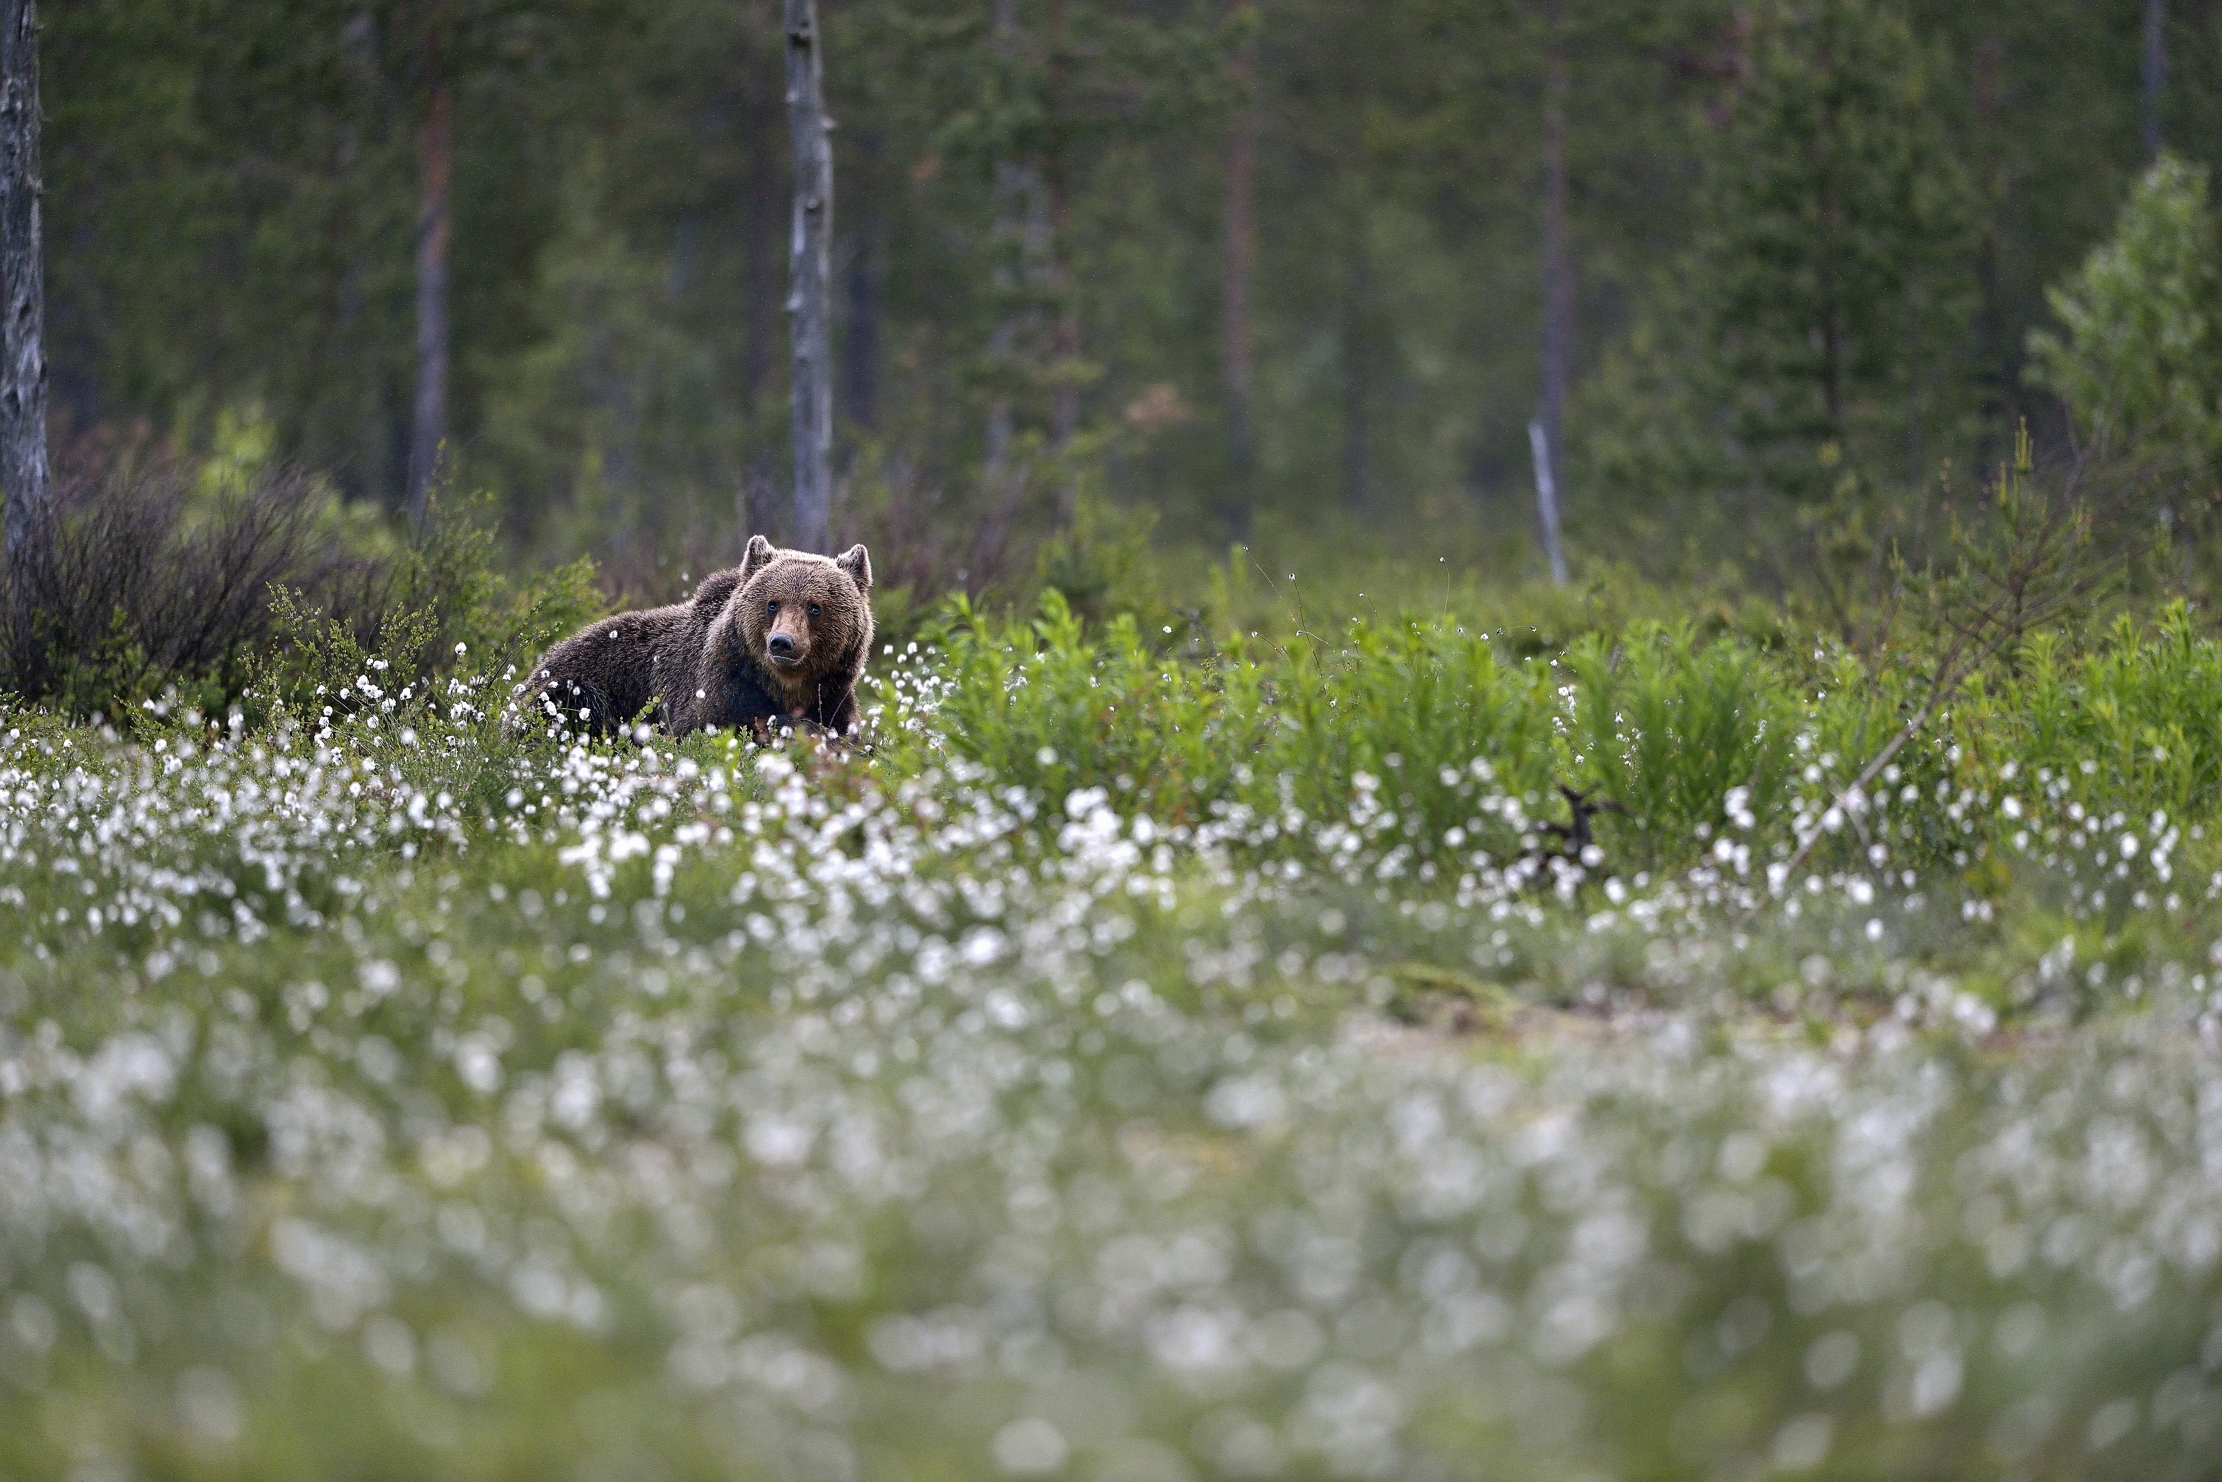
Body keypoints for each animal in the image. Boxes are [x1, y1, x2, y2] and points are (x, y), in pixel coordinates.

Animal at [517, 535, 873, 741]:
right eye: (773, 603)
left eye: (814, 607)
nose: (782, 642)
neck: (784, 684)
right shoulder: (712, 686)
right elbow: (701, 728)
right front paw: (799, 729)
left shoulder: (832, 695)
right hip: (568, 687)